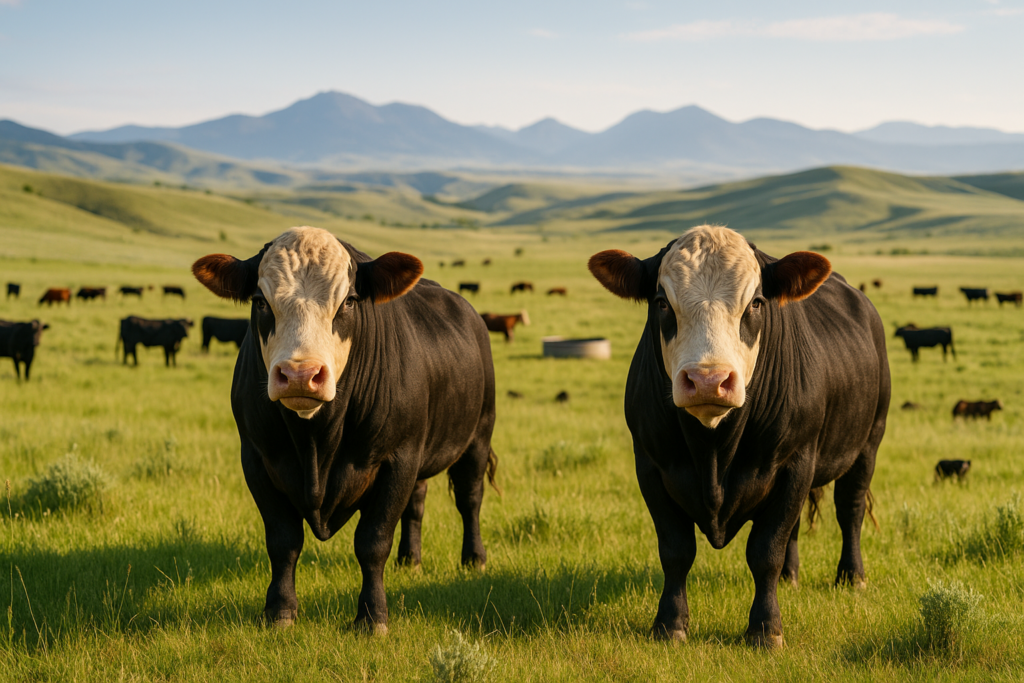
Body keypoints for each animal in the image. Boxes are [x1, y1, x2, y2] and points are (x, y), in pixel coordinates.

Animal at [191, 226, 498, 633]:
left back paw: (473, 558)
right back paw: (410, 559)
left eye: (349, 301)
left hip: (477, 436)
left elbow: (373, 541)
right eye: (260, 301)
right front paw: (280, 611)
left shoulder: (397, 459)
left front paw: (372, 616)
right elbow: (283, 540)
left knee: (469, 499)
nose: (300, 374)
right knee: (416, 504)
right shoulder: (257, 459)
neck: (315, 446)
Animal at [588, 225, 890, 648]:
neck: (714, 454)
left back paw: (851, 576)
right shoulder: (651, 466)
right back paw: (790, 578)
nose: (708, 380)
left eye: (757, 303)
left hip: (867, 445)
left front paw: (765, 629)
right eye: (662, 303)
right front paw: (669, 624)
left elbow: (765, 551)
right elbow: (676, 550)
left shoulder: (795, 462)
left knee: (850, 510)